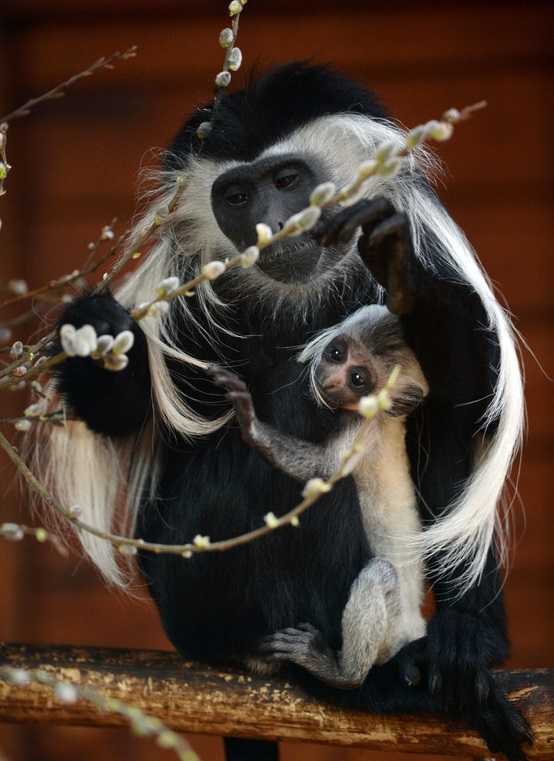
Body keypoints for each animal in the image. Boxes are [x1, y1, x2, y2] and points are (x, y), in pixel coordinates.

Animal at [207, 304, 426, 688]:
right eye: (337, 353)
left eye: (358, 378)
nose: (332, 379)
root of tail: (412, 629)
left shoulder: (363, 426)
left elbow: (324, 471)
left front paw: (250, 424)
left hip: (389, 630)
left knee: (380, 573)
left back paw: (340, 672)